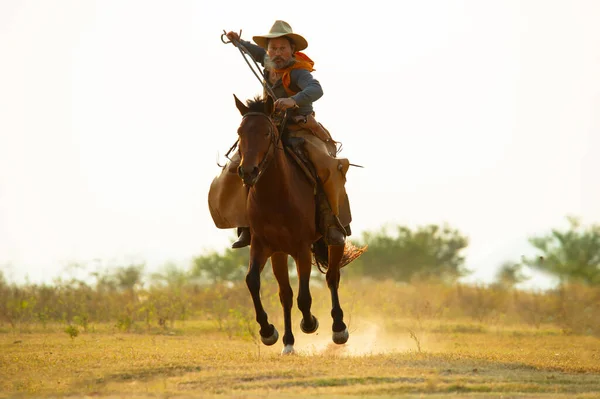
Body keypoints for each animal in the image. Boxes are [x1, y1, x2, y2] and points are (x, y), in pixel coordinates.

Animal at [233, 94, 360, 356]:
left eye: (267, 133)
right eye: (240, 132)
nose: (248, 171)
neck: (276, 196)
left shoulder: (301, 248)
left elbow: (305, 296)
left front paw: (310, 323)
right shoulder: (263, 246)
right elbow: (254, 282)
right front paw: (268, 332)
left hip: (334, 241)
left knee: (332, 277)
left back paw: (338, 329)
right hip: (280, 254)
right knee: (286, 294)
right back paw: (288, 342)